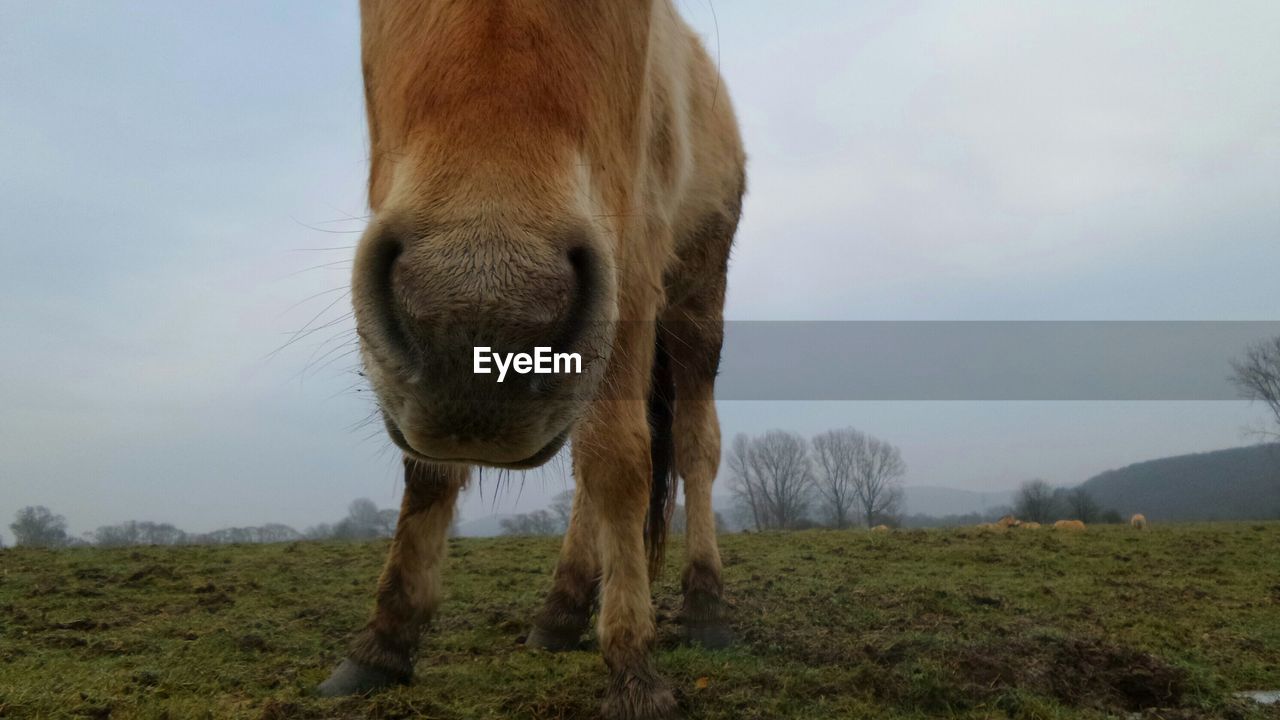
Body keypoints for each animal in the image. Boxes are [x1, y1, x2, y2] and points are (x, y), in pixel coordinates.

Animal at [313, 2, 747, 712]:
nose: (481, 318)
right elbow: (429, 471)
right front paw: (382, 642)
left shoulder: (633, 278)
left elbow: (622, 462)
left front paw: (633, 668)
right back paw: (562, 610)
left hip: (695, 305)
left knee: (692, 445)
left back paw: (707, 605)